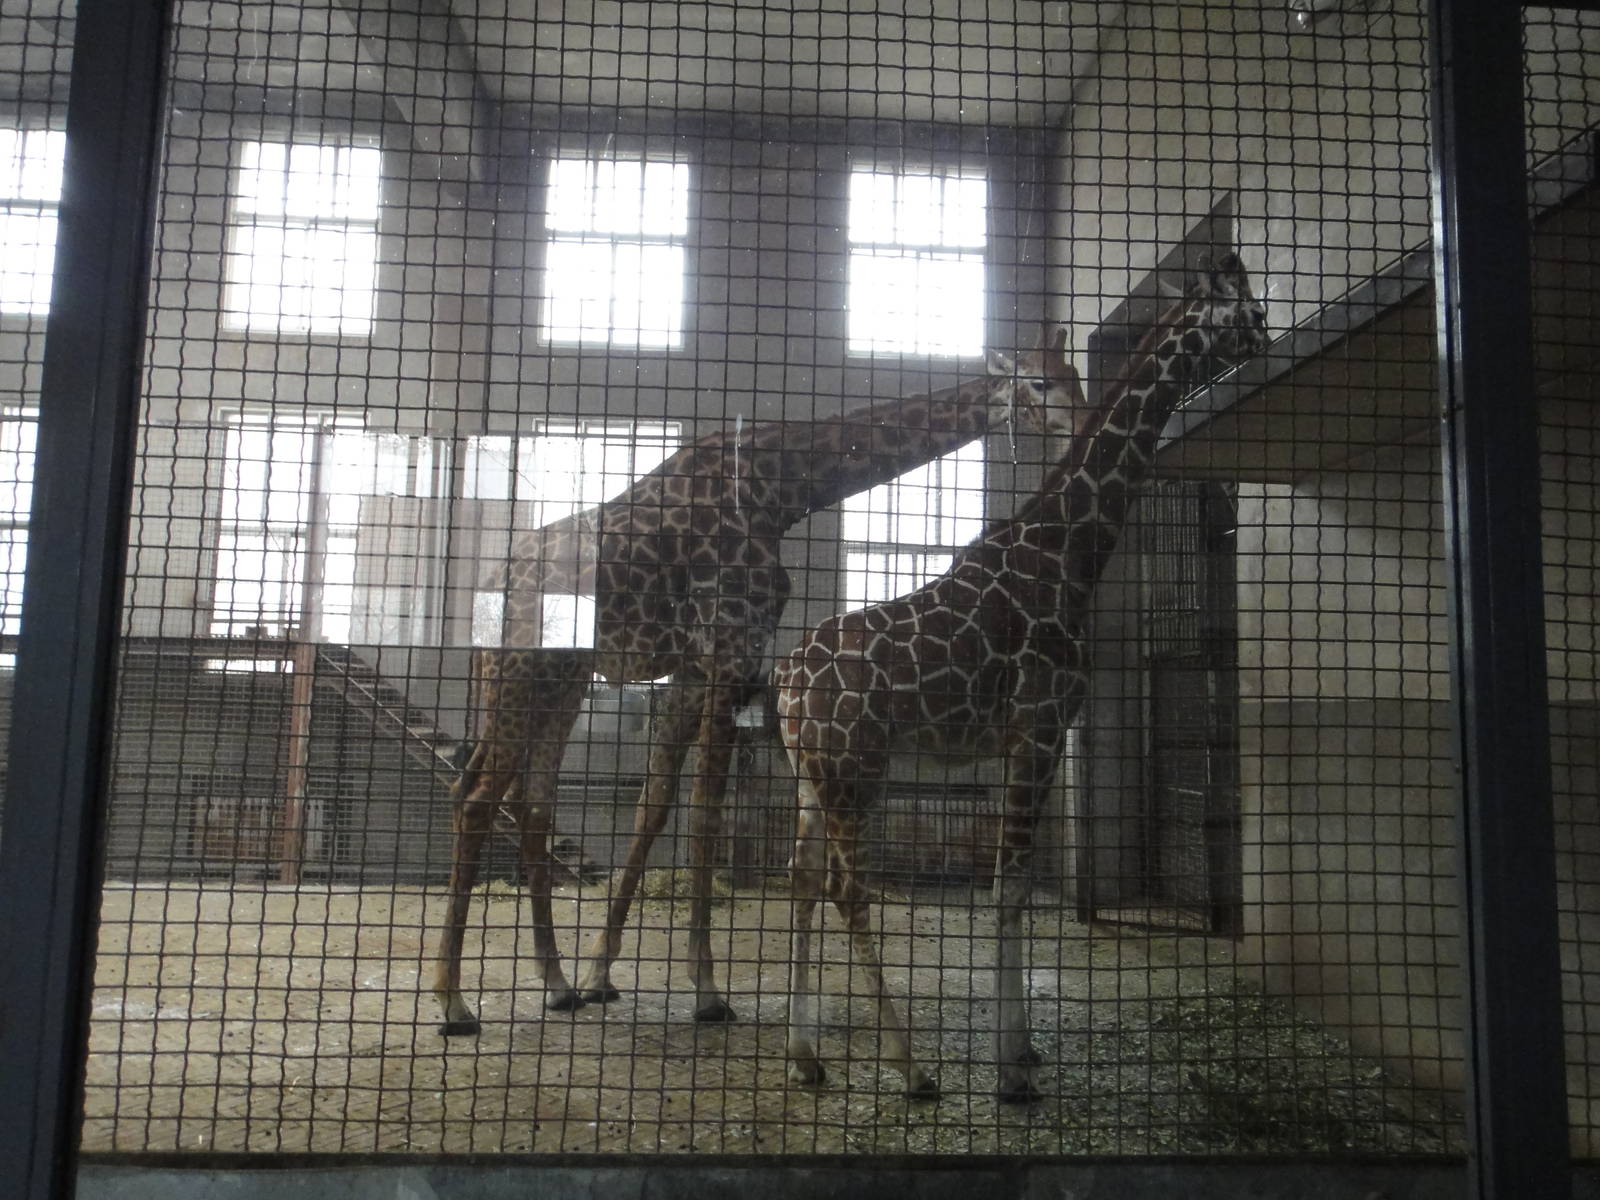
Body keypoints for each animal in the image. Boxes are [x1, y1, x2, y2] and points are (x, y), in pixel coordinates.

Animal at [433, 329, 1090, 1035]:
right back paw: (453, 1002)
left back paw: (554, 985)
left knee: (528, 803)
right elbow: (706, 813)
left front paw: (599, 973)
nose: (1082, 424)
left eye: (1074, 373)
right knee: (476, 799)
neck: (782, 490)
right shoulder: (729, 652)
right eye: (1041, 383)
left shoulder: (697, 668)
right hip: (522, 675)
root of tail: (488, 592)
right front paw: (706, 991)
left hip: (559, 682)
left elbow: (656, 808)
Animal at [772, 253, 1268, 1103]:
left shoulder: (1029, 739)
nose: (1267, 340)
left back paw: (807, 1056)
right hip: (856, 769)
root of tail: (785, 681)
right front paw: (1011, 1069)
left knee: (803, 884)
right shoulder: (1036, 726)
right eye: (1242, 309)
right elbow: (1006, 890)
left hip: (813, 774)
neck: (1067, 553)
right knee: (846, 891)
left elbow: (1015, 887)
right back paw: (912, 1068)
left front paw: (1026, 1049)